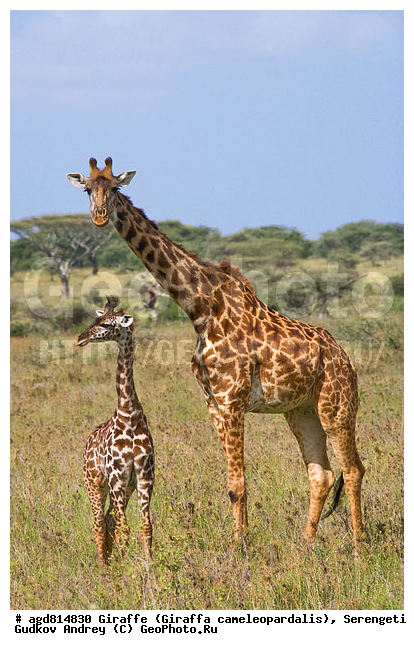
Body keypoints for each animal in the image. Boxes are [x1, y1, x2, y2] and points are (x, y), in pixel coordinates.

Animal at [76, 295, 154, 565]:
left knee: (108, 520)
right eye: (96, 318)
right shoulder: (116, 478)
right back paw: (104, 567)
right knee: (99, 523)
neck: (128, 415)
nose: (80, 338)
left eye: (107, 324)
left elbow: (145, 528)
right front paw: (127, 569)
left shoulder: (143, 478)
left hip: (123, 487)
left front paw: (150, 566)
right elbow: (124, 530)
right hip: (94, 483)